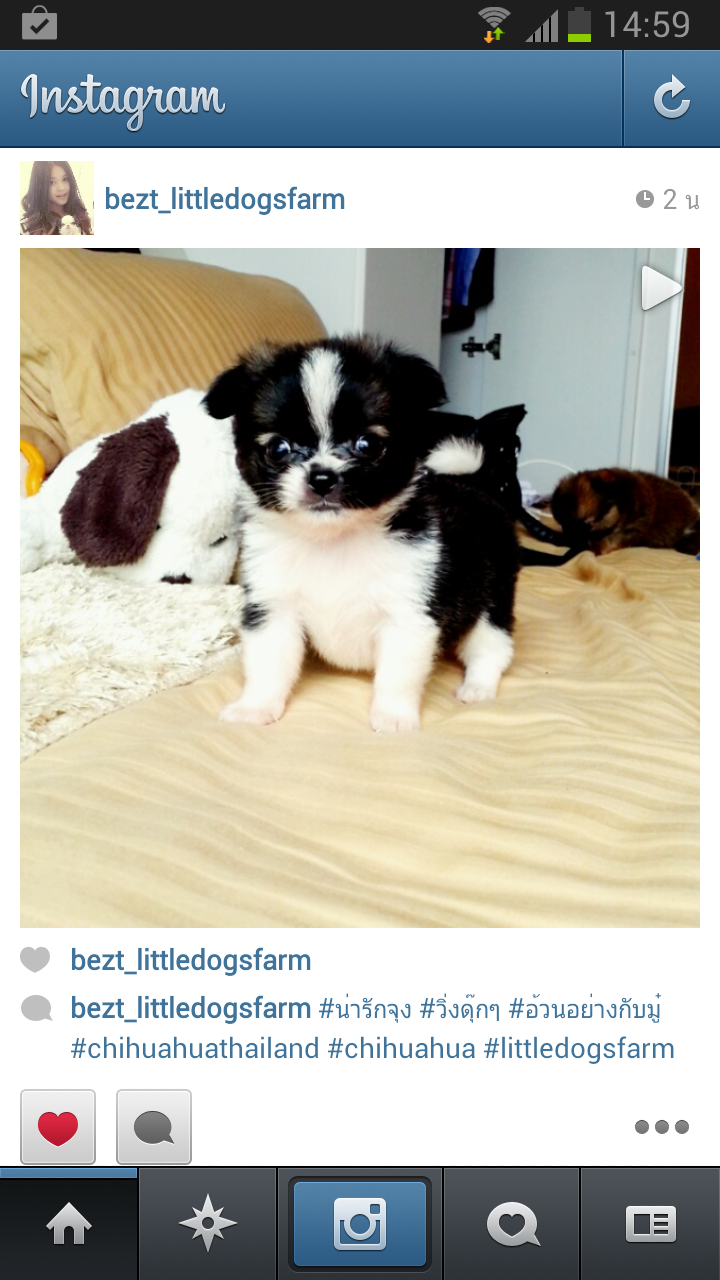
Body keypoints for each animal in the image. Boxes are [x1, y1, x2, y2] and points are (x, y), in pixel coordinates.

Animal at [204, 337, 519, 732]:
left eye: (366, 445)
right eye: (278, 449)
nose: (322, 477)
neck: (333, 540)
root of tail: (476, 488)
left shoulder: (408, 614)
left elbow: (397, 677)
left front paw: (393, 716)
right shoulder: (273, 608)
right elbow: (268, 665)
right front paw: (254, 707)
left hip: (492, 600)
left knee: (491, 647)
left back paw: (477, 687)